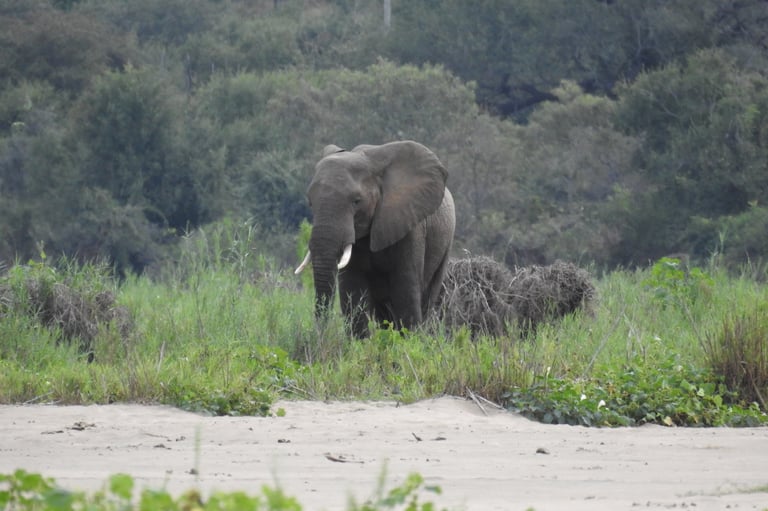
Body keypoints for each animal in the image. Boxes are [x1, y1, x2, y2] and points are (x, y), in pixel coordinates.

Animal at [295, 140, 456, 337]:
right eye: (310, 202)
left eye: (356, 201)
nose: (319, 333)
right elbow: (352, 289)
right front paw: (359, 343)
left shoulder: (412, 227)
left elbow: (405, 289)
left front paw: (410, 341)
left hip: (445, 245)